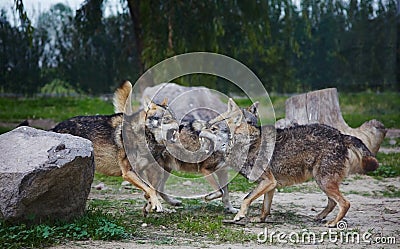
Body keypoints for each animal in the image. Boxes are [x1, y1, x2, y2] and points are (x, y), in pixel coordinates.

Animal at [50, 81, 178, 214]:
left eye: (175, 117)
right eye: (167, 118)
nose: (180, 126)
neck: (143, 136)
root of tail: (54, 128)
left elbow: (151, 189)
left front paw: (150, 204)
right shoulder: (128, 173)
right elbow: (151, 189)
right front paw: (156, 205)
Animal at [200, 98, 384, 227]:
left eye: (213, 129)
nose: (201, 129)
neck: (247, 144)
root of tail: (340, 134)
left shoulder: (268, 181)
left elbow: (246, 198)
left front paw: (239, 216)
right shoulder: (271, 184)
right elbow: (264, 208)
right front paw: (259, 220)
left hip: (323, 181)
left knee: (345, 203)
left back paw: (332, 223)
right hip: (323, 182)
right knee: (333, 202)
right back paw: (320, 217)